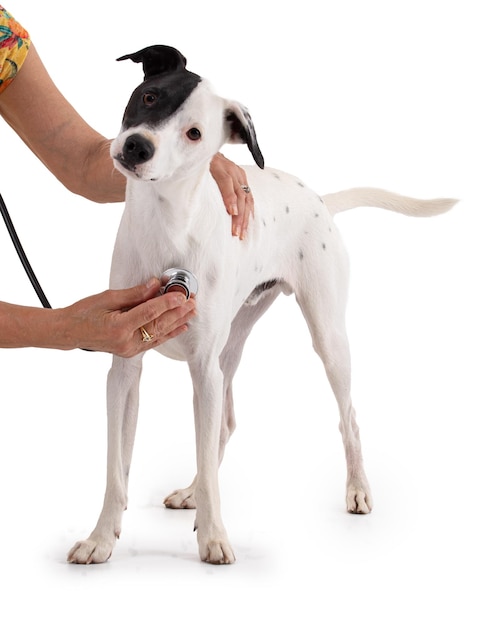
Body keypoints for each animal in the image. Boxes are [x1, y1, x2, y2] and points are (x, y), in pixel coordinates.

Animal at [67, 42, 454, 560]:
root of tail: (319, 199)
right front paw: (101, 538)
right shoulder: (125, 365)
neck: (166, 225)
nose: (137, 147)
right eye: (149, 97)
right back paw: (192, 490)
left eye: (194, 133)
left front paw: (213, 536)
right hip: (230, 348)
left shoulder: (201, 369)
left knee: (347, 418)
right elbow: (116, 467)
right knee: (224, 426)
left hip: (324, 340)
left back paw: (357, 489)